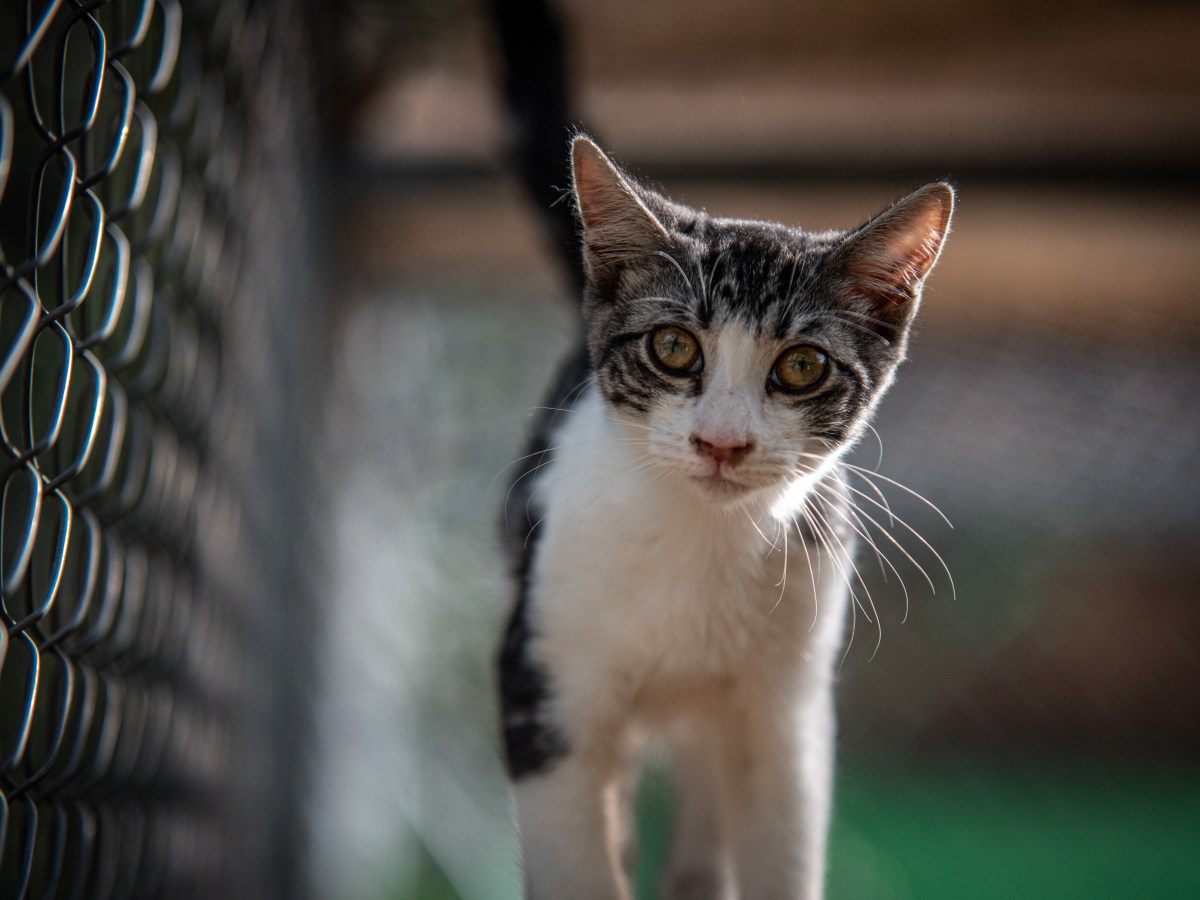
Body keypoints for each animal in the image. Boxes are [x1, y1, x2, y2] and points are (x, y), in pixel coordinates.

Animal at [492, 135, 950, 900]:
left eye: (803, 366)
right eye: (674, 347)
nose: (722, 442)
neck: (700, 540)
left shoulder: (789, 714)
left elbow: (782, 842)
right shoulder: (543, 678)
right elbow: (577, 862)